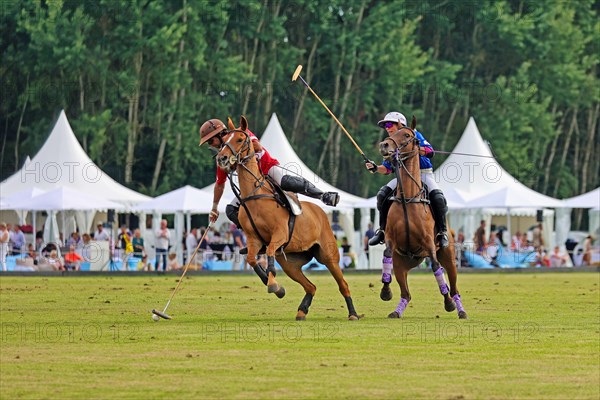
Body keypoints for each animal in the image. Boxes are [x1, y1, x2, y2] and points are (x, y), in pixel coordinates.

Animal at [216, 116, 358, 322]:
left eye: (240, 139)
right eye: (224, 141)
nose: (222, 158)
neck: (254, 194)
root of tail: (320, 213)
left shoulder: (280, 234)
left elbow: (268, 253)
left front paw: (273, 283)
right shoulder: (253, 239)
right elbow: (251, 259)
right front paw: (275, 286)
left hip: (329, 255)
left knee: (343, 284)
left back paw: (353, 313)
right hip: (290, 263)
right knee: (311, 286)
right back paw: (302, 311)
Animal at [380, 116, 468, 318]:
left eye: (406, 135)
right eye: (391, 132)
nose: (384, 145)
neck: (408, 198)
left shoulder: (429, 243)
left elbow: (436, 267)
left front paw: (448, 303)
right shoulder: (391, 238)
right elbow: (386, 253)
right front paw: (385, 291)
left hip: (448, 257)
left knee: (454, 287)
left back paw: (460, 310)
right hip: (402, 262)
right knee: (406, 293)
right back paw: (396, 312)